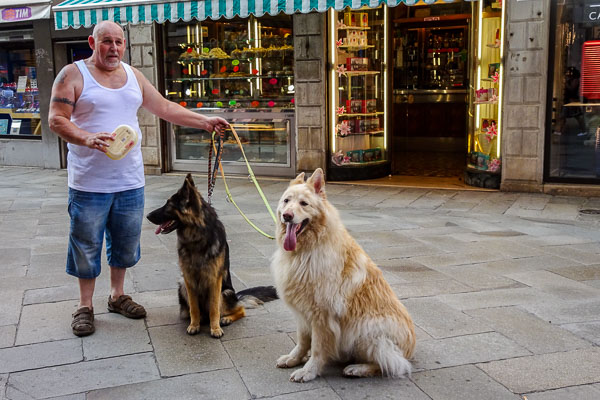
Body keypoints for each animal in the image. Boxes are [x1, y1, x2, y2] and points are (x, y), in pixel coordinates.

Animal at [146, 174, 278, 338]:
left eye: (168, 205)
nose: (147, 215)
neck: (196, 236)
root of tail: (236, 296)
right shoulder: (188, 279)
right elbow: (194, 308)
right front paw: (194, 325)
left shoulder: (215, 279)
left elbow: (214, 308)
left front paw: (215, 329)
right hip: (182, 285)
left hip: (225, 292)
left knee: (240, 310)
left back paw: (226, 319)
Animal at [270, 168, 414, 382]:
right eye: (286, 201)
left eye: (304, 203)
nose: (287, 216)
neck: (306, 251)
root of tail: (411, 350)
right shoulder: (303, 313)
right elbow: (302, 341)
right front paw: (294, 358)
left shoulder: (322, 316)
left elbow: (317, 348)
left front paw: (309, 371)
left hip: (366, 330)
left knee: (390, 364)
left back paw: (358, 368)